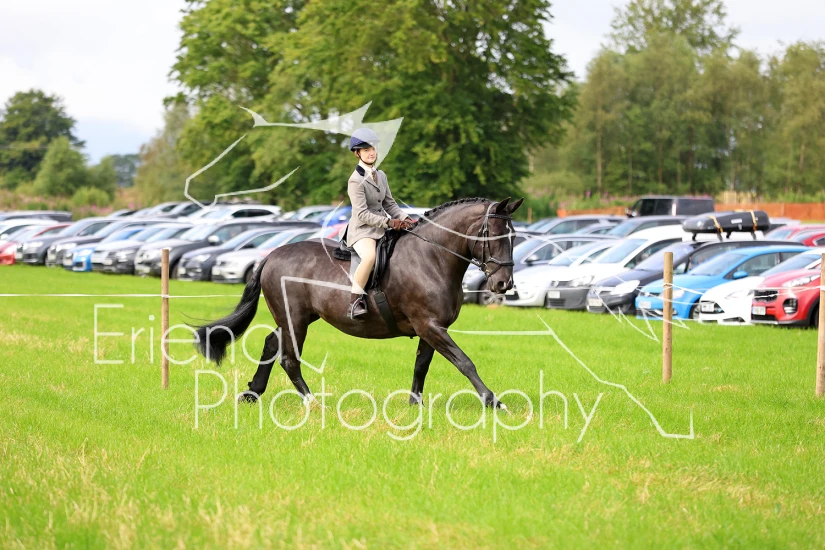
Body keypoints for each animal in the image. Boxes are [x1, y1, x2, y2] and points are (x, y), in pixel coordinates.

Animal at [194, 196, 523, 408]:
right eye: (493, 235)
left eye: (514, 236)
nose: (503, 284)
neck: (433, 257)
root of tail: (271, 255)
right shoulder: (430, 326)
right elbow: (464, 362)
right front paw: (493, 401)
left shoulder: (431, 328)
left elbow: (422, 365)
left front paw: (414, 405)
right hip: (294, 319)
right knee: (288, 358)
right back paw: (312, 402)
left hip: (294, 318)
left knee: (271, 345)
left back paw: (253, 394)